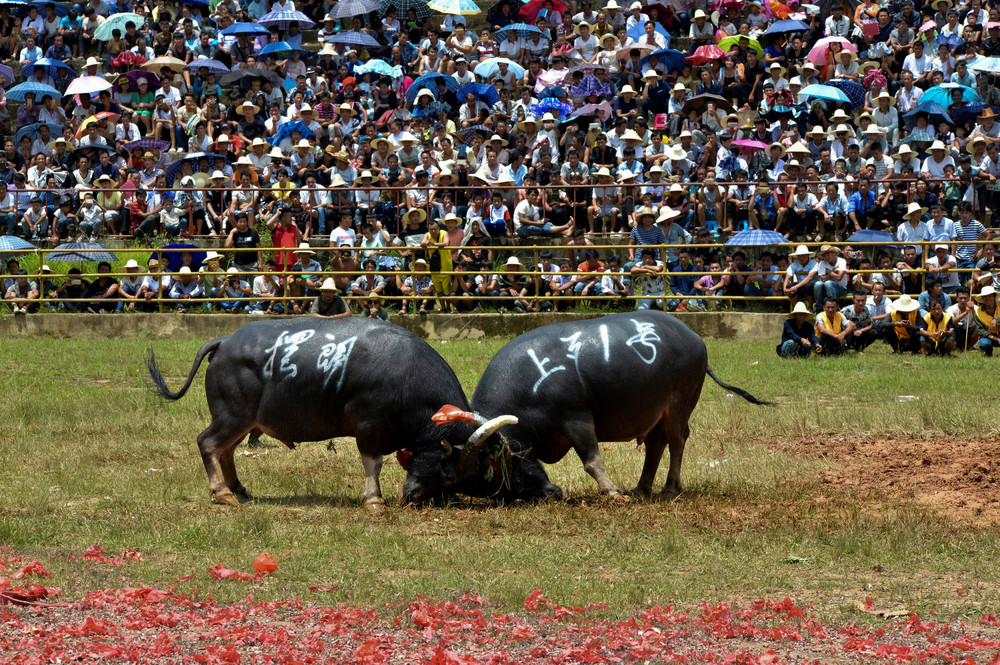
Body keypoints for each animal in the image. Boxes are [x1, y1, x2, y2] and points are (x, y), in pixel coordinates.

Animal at [434, 310, 768, 498]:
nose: (551, 493)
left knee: (676, 441)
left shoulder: (576, 418)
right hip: (656, 410)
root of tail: (694, 337)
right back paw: (641, 489)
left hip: (680, 404)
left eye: (486, 472)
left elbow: (592, 460)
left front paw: (612, 492)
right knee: (656, 444)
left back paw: (670, 488)